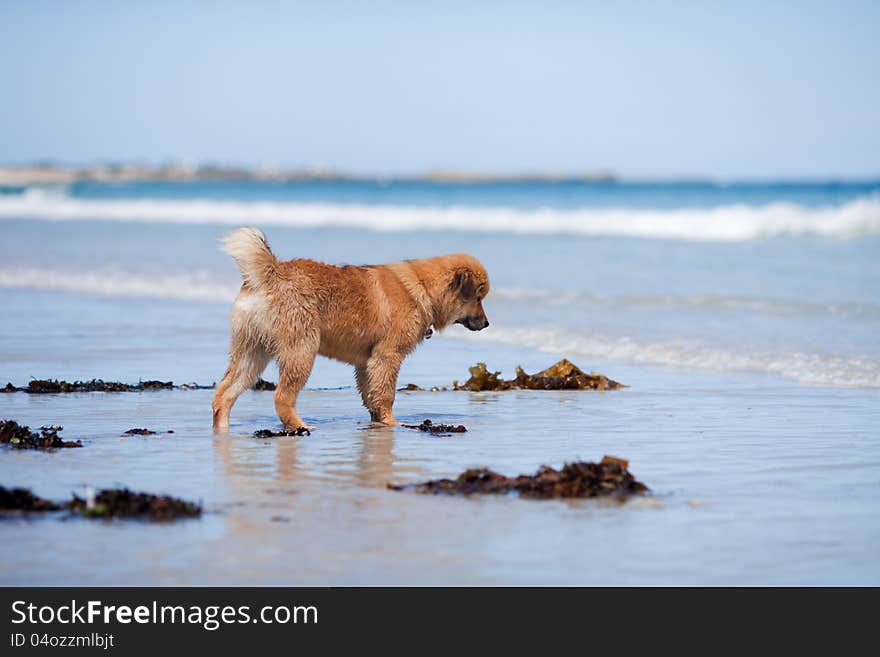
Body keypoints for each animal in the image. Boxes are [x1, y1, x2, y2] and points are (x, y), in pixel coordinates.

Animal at [211, 227, 492, 430]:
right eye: (478, 298)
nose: (487, 323)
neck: (422, 288)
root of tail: (271, 273)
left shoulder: (367, 363)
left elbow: (371, 396)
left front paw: (377, 421)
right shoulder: (387, 357)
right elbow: (386, 395)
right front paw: (391, 423)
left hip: (251, 353)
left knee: (223, 394)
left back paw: (222, 428)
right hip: (301, 351)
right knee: (282, 397)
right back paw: (301, 427)